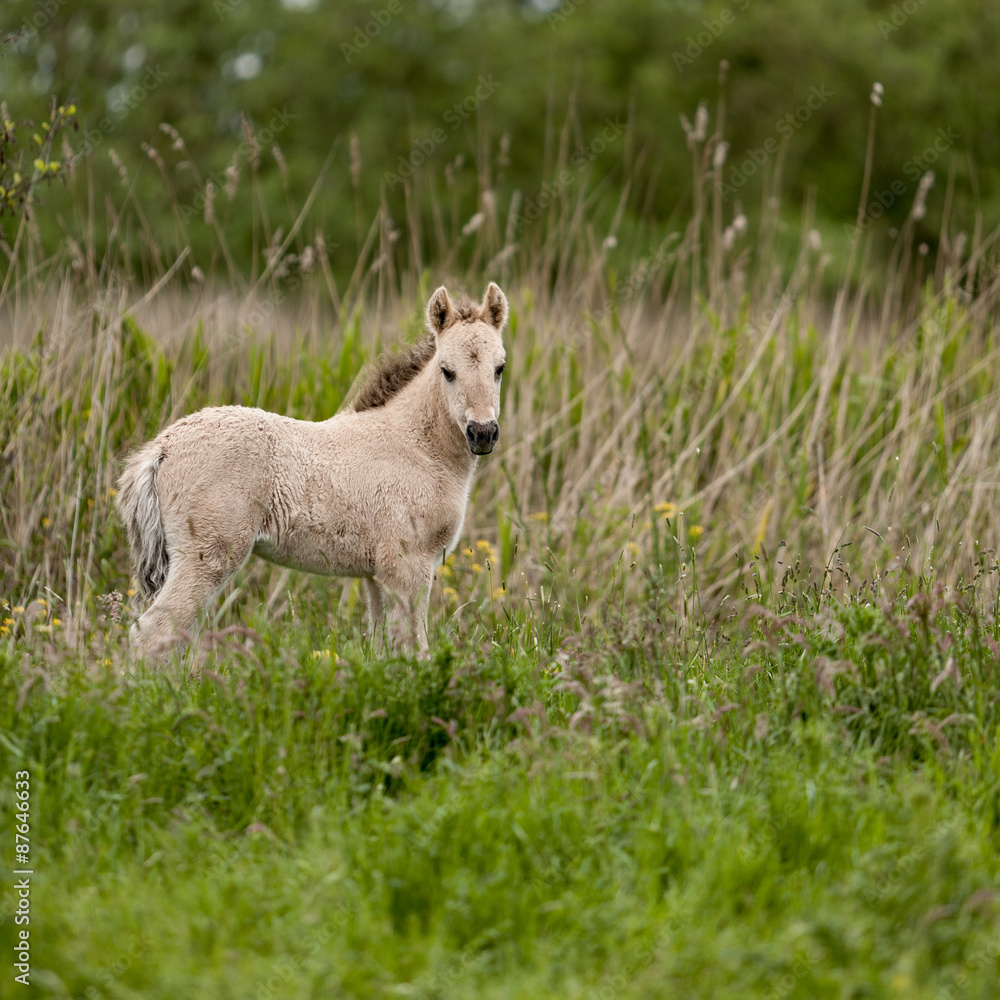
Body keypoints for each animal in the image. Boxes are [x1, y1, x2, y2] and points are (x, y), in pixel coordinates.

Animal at [115, 282, 508, 658]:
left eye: (499, 368)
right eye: (447, 371)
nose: (483, 433)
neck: (417, 446)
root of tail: (162, 447)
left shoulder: (377, 574)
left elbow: (384, 648)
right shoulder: (407, 565)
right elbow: (414, 648)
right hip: (206, 558)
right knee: (152, 633)